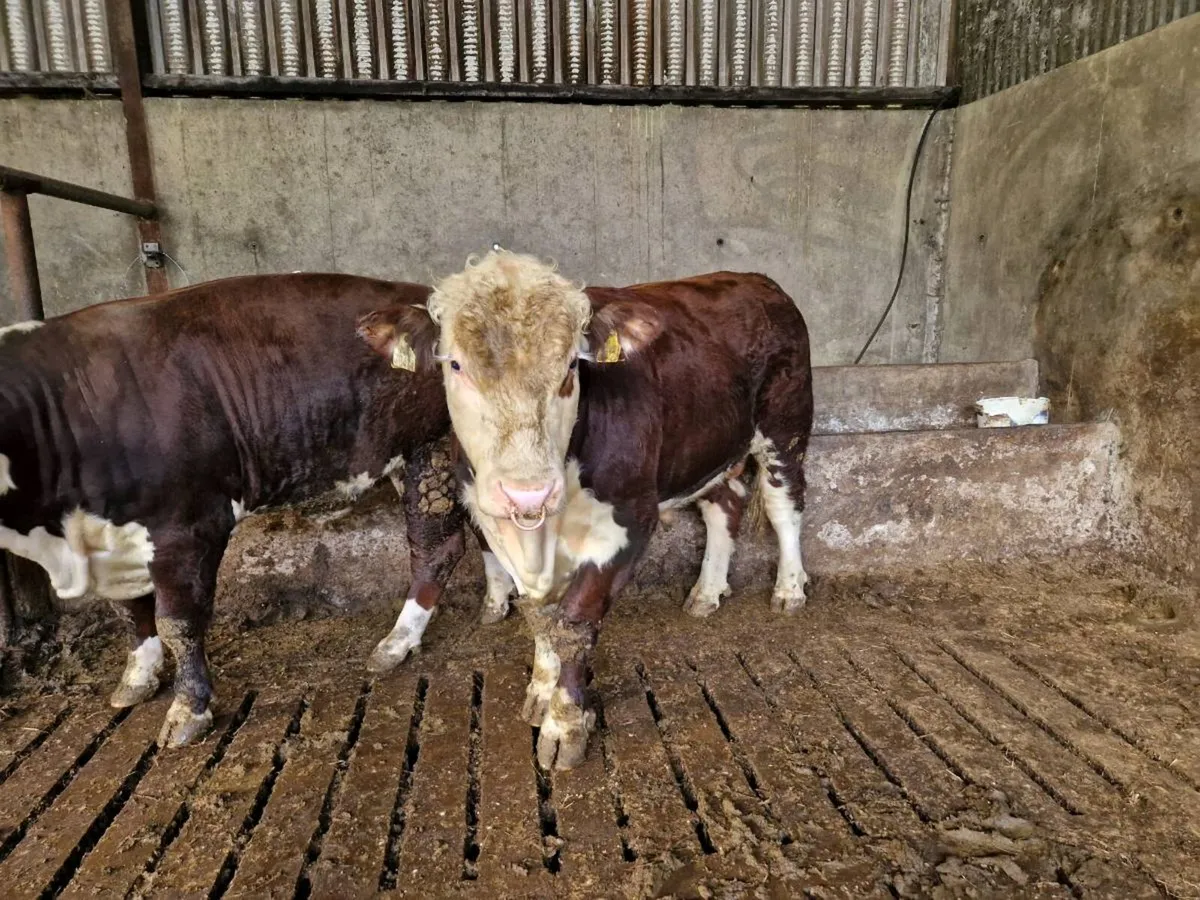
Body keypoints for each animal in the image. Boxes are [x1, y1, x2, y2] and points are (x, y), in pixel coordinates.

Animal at [0, 274, 476, 747]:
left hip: (430, 448)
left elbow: (177, 622)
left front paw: (187, 709)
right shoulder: (109, 538)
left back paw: (397, 641)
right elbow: (130, 610)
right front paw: (137, 677)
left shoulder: (188, 525)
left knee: (436, 548)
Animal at [360, 250, 813, 769]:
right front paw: (541, 690)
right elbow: (540, 615)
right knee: (724, 506)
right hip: (708, 445)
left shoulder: (629, 522)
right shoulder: (494, 521)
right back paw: (706, 592)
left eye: (571, 368)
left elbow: (576, 621)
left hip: (786, 424)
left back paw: (789, 589)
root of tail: (755, 280)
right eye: (455, 364)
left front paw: (566, 725)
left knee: (784, 506)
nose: (529, 494)